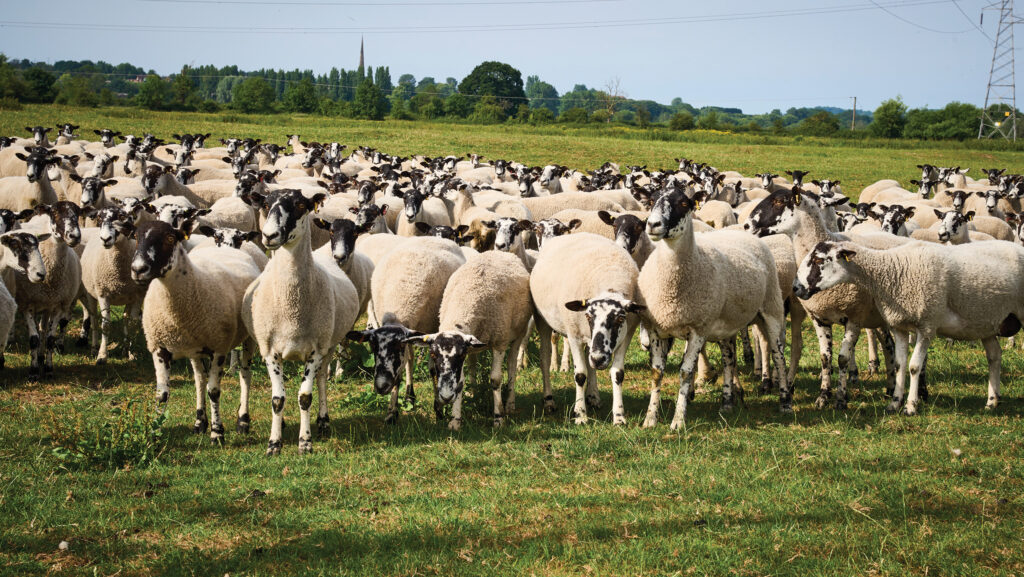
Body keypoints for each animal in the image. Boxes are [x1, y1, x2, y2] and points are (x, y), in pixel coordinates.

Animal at [80, 205, 148, 365]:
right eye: (99, 218)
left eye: (122, 217)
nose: (105, 239)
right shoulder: (103, 293)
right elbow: (106, 325)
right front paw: (102, 356)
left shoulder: (138, 295)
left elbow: (133, 323)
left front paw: (132, 353)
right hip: (91, 294)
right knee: (94, 319)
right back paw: (94, 348)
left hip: (128, 298)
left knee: (125, 318)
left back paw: (125, 349)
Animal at [243, 189, 360, 455]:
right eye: (265, 204)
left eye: (299, 205)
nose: (269, 236)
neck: (292, 308)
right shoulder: (270, 351)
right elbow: (277, 399)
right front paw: (274, 443)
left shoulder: (316, 351)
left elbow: (305, 396)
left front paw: (305, 443)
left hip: (329, 344)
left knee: (322, 379)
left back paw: (323, 421)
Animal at [346, 236, 466, 423]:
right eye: (373, 346)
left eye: (398, 346)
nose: (381, 386)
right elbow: (401, 371)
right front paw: (391, 412)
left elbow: (433, 368)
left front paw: (438, 409)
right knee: (409, 359)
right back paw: (410, 395)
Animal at [404, 251, 532, 429]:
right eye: (433, 355)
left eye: (459, 356)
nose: (445, 397)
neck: (467, 299)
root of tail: (499, 251)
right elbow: (460, 382)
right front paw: (455, 420)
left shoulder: (499, 342)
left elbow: (495, 379)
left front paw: (498, 418)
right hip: (475, 344)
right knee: (473, 363)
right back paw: (474, 393)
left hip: (517, 333)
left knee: (512, 364)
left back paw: (509, 404)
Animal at [794, 239, 1024, 415]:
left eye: (818, 260)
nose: (796, 288)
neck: (892, 271)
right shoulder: (899, 326)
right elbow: (899, 364)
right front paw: (894, 404)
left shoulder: (927, 326)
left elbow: (914, 367)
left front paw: (911, 406)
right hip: (988, 322)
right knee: (994, 356)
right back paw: (992, 402)